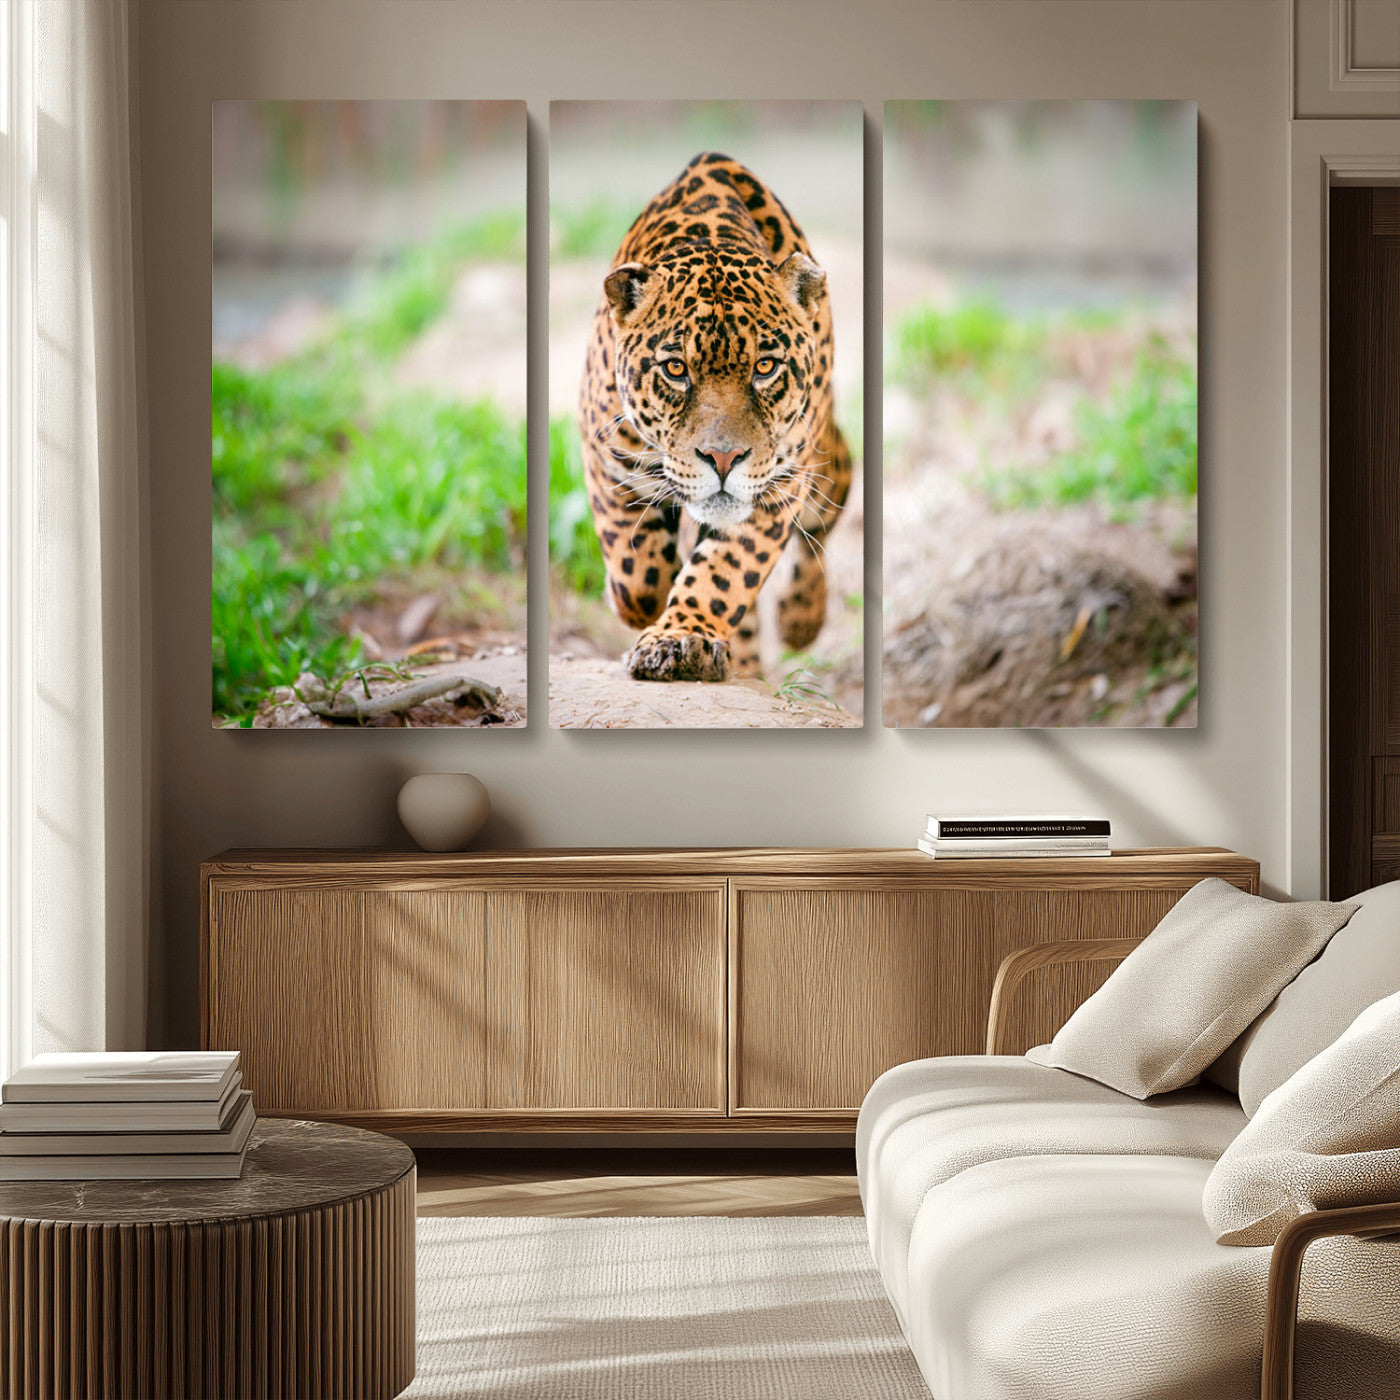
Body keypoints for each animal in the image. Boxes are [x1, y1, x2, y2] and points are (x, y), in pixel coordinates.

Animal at [577, 151, 852, 683]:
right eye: (675, 369)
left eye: (765, 367)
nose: (723, 459)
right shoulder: (605, 453)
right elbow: (636, 570)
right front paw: (642, 606)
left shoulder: (778, 485)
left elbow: (724, 572)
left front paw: (682, 638)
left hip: (823, 461)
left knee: (829, 507)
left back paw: (800, 619)